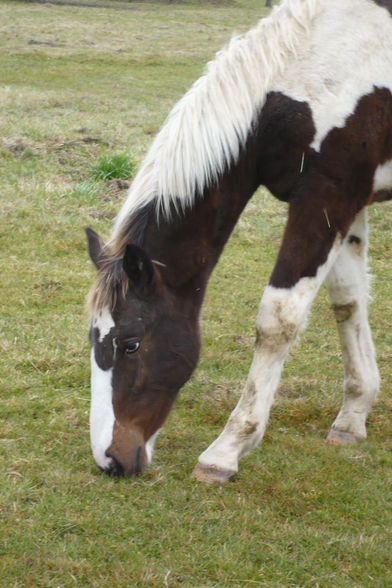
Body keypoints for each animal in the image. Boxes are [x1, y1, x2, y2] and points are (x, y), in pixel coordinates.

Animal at [85, 0, 392, 480]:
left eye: (130, 343)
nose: (110, 460)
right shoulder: (346, 206)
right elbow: (348, 301)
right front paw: (353, 417)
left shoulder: (324, 200)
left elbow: (278, 320)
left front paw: (226, 450)